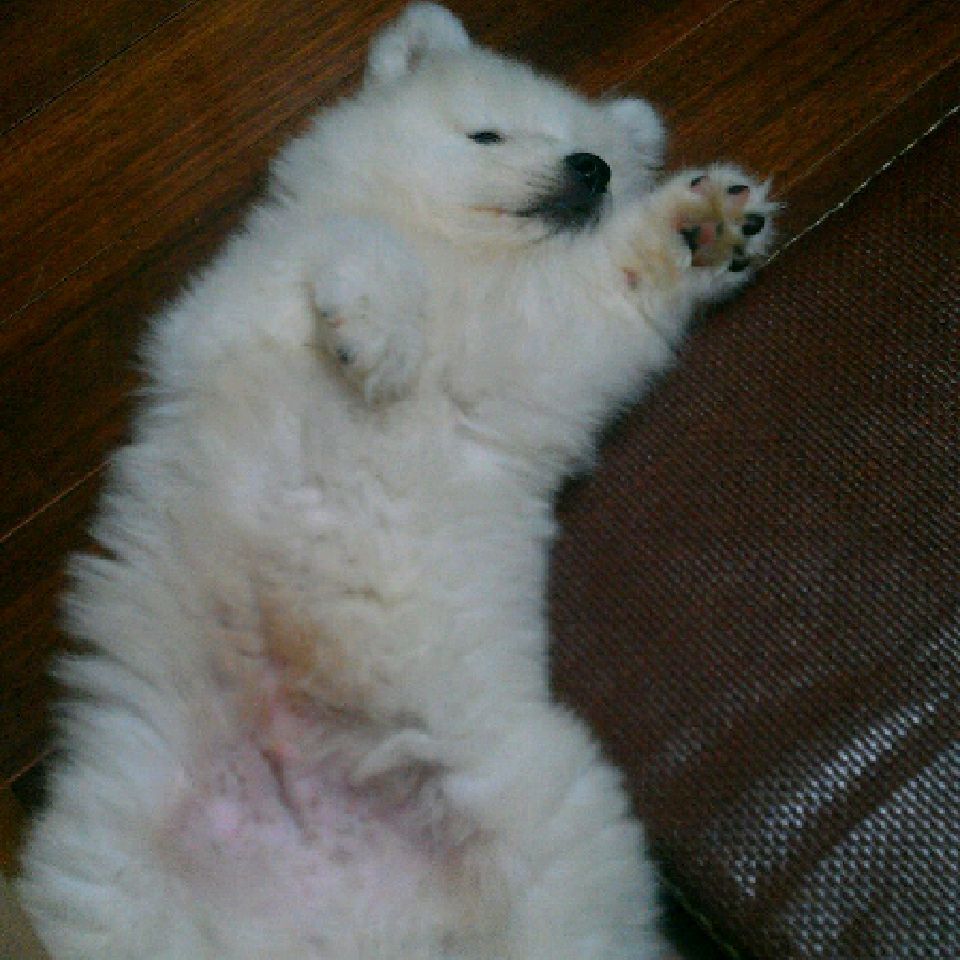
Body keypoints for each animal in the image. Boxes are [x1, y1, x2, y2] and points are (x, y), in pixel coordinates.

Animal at [20, 5, 774, 957]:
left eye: (591, 152)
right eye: (487, 134)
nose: (592, 169)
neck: (470, 258)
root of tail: (339, 913)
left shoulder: (538, 350)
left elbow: (604, 285)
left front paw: (697, 229)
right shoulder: (239, 299)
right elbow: (358, 238)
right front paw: (383, 337)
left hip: (551, 848)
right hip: (109, 868)